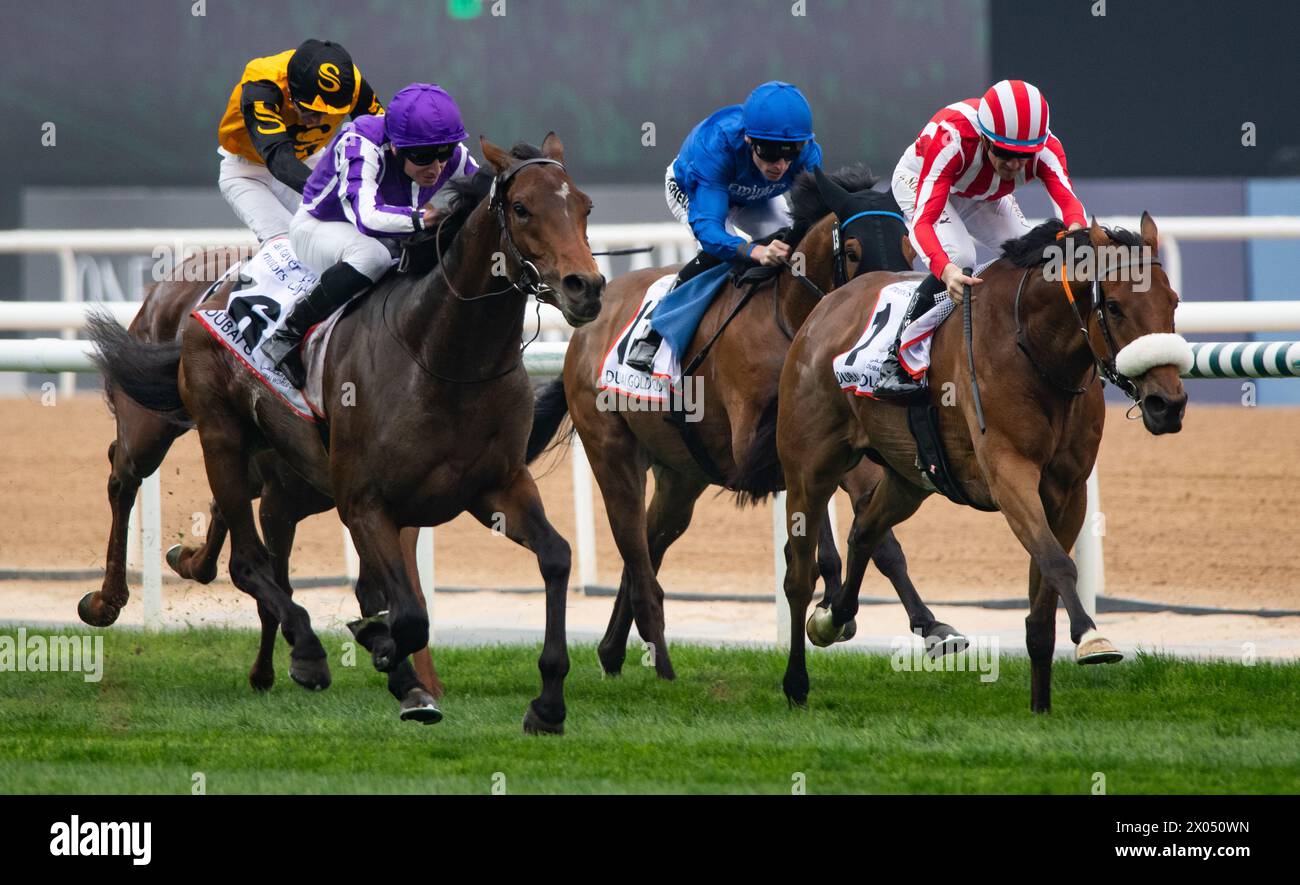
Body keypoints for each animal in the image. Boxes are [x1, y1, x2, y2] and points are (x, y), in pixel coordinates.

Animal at [89, 134, 605, 732]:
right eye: (521, 209)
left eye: (585, 206)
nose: (586, 287)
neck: (441, 357)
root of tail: (204, 286)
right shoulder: (364, 502)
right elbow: (406, 614)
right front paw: (388, 657)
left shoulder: (497, 486)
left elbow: (555, 557)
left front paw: (547, 703)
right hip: (200, 429)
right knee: (153, 494)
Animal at [525, 165, 967, 675]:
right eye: (853, 250)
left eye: (907, 246)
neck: (794, 324)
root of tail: (584, 330)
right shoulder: (767, 444)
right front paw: (830, 602)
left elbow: (876, 531)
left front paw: (931, 627)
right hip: (612, 451)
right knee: (633, 539)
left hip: (682, 476)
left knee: (649, 543)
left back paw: (613, 649)